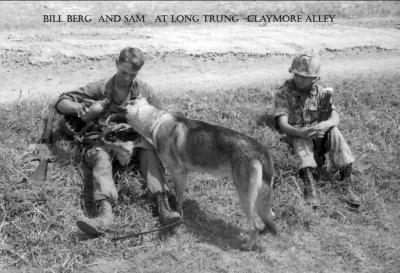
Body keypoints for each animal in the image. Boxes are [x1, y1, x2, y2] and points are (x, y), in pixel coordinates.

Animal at [126, 97, 276, 249]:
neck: (157, 122)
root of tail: (262, 152)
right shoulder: (182, 174)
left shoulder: (178, 173)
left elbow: (178, 196)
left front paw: (178, 211)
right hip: (258, 198)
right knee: (270, 216)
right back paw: (264, 233)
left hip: (245, 197)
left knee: (254, 227)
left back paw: (247, 246)